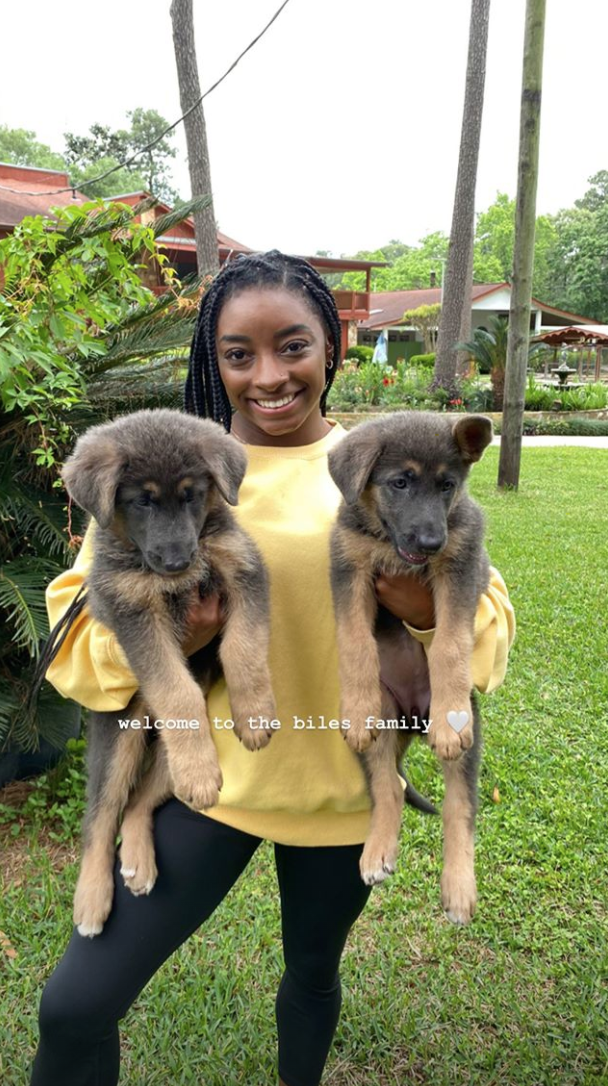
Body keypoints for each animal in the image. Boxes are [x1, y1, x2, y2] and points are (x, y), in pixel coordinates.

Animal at [58, 408, 274, 933]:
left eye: (192, 494)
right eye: (142, 501)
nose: (177, 561)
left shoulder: (242, 568)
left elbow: (243, 647)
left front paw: (254, 713)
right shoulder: (133, 614)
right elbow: (176, 689)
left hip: (162, 762)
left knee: (140, 803)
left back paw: (140, 859)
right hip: (121, 738)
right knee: (102, 814)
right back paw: (91, 899)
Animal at [327, 410, 495, 920]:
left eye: (447, 486)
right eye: (399, 482)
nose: (431, 540)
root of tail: (413, 721)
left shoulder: (461, 567)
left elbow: (451, 645)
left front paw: (448, 708)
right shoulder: (349, 569)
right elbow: (355, 643)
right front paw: (355, 706)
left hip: (469, 737)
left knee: (460, 809)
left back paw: (458, 886)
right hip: (383, 723)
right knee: (388, 789)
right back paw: (378, 850)